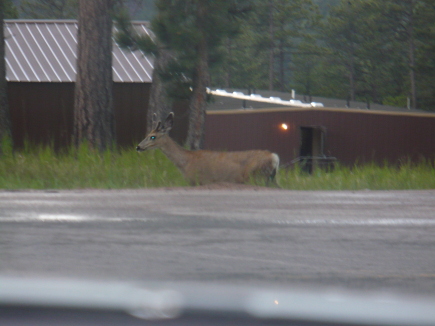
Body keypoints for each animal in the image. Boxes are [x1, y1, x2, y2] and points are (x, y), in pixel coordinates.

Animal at [135, 112, 282, 186]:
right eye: (147, 135)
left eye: (152, 137)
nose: (138, 147)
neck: (185, 162)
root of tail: (274, 156)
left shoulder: (197, 180)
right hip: (270, 177)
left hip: (256, 175)